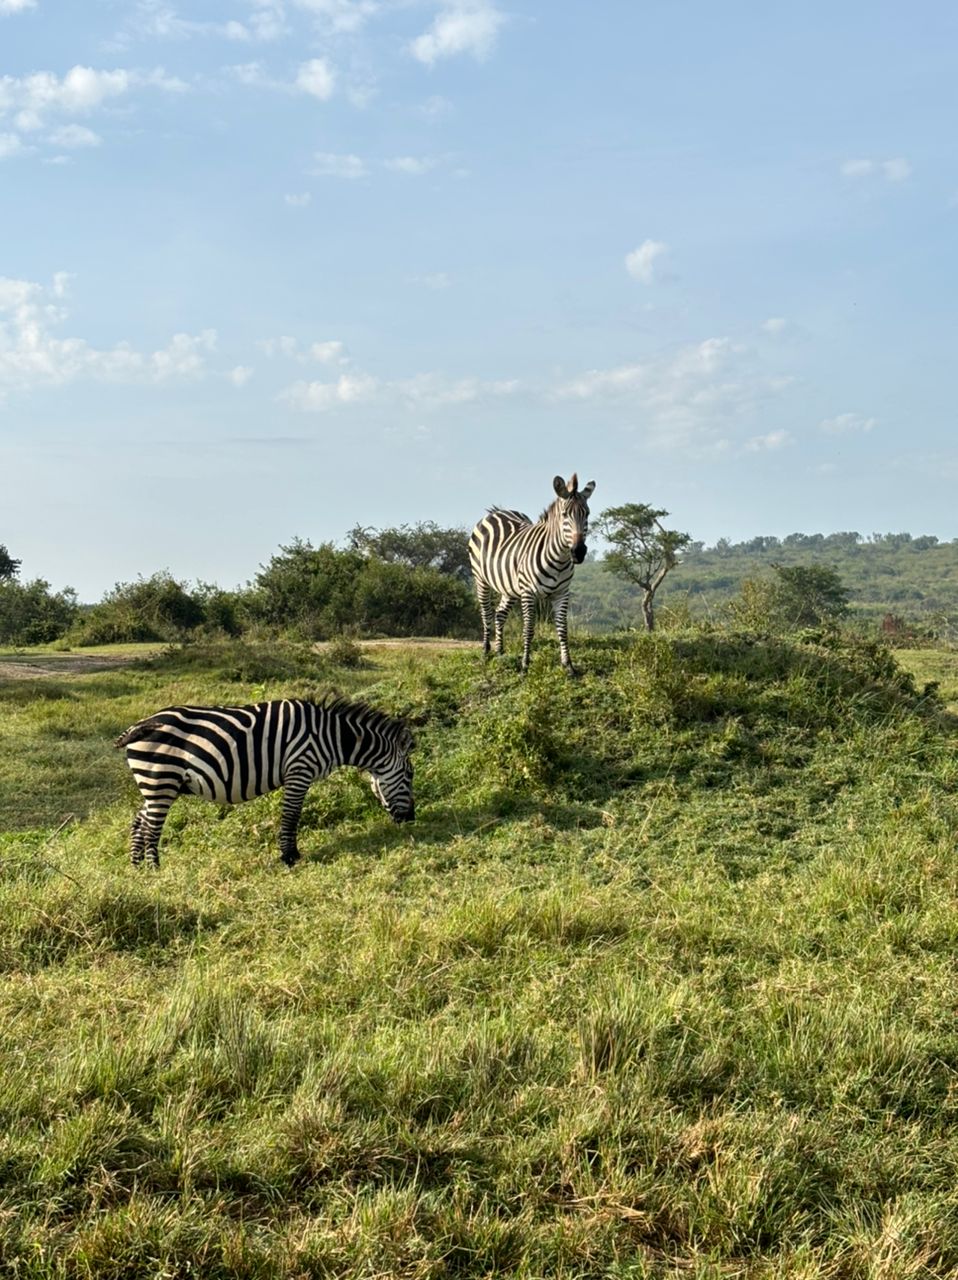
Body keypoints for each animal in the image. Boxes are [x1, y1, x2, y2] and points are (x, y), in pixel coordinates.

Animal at [113, 701, 412, 870]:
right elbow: (291, 816)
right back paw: (154, 869)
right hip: (160, 781)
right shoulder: (299, 771)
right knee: (152, 828)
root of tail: (139, 725)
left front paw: (289, 855)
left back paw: (136, 867)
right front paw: (290, 857)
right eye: (410, 775)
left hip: (156, 785)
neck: (333, 736)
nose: (412, 819)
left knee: (140, 821)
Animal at [468, 471, 594, 670]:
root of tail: (496, 512)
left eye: (587, 514)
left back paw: (500, 652)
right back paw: (486, 652)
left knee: (500, 613)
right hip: (481, 579)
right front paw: (525, 665)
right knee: (486, 613)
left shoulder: (562, 593)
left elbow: (562, 628)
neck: (559, 558)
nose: (579, 552)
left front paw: (568, 666)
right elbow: (528, 629)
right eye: (565, 515)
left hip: (509, 586)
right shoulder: (528, 592)